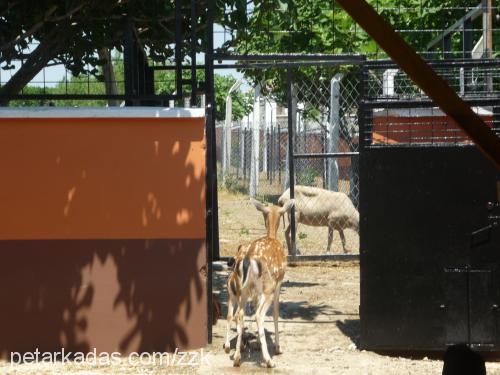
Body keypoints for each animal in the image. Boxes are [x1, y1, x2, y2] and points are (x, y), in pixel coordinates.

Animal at [224, 198, 292, 368]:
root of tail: (248, 261)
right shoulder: (278, 283)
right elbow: (276, 312)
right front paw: (278, 347)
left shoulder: (255, 291)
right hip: (268, 287)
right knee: (259, 314)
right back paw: (268, 360)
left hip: (244, 289)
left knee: (238, 313)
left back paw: (237, 356)